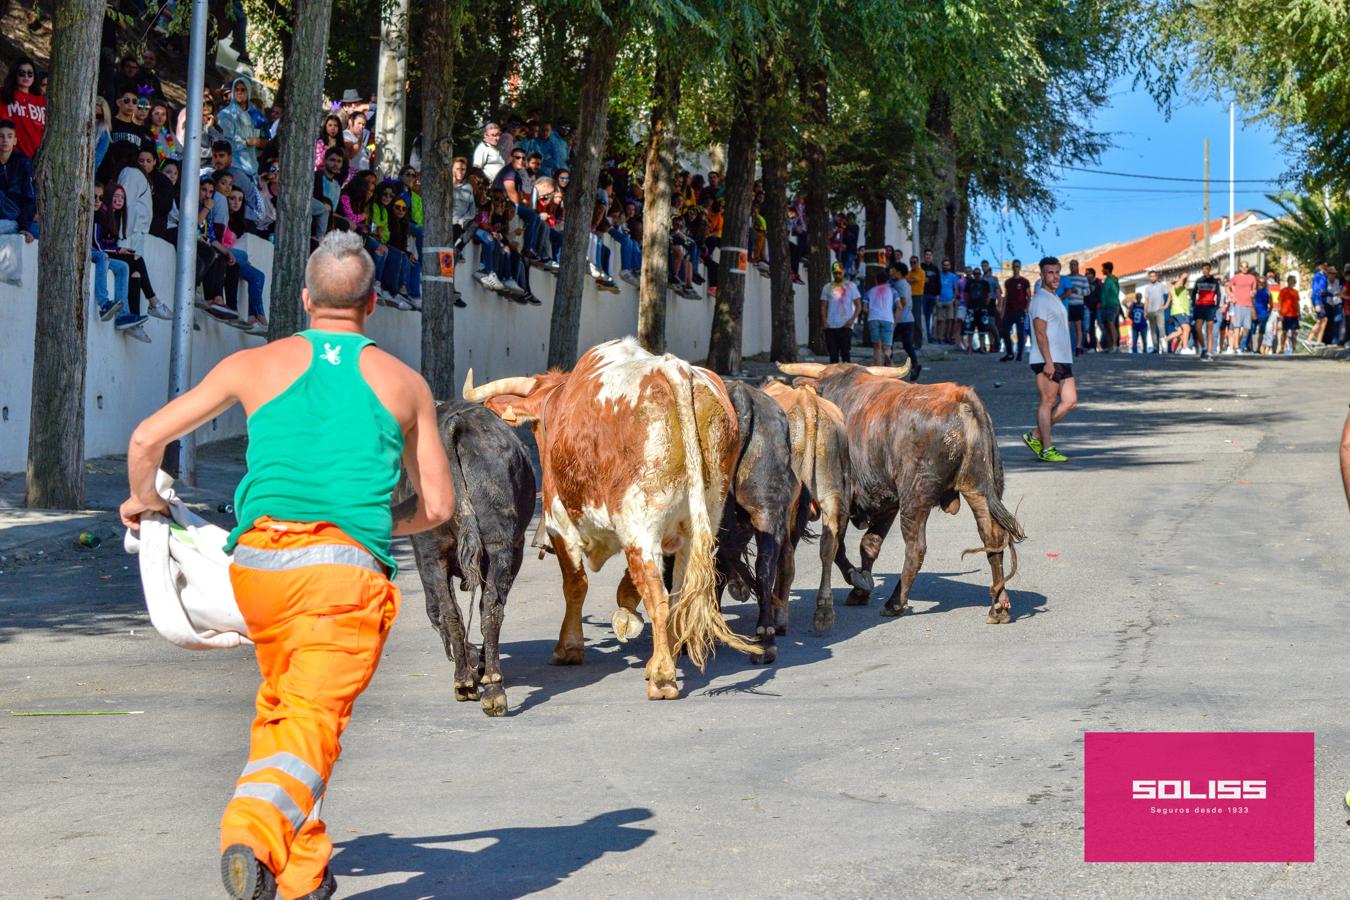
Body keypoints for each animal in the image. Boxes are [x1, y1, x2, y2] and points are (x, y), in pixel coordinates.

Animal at [464, 334, 761, 701]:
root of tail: (675, 369)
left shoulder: (560, 524)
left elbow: (575, 585)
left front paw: (569, 647)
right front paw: (626, 614)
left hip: (641, 525)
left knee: (658, 595)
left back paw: (662, 677)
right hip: (700, 520)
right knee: (677, 594)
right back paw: (663, 658)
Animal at [777, 361, 1026, 623]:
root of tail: (959, 396)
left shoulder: (844, 500)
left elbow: (838, 547)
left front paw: (858, 581)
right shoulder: (887, 501)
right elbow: (869, 545)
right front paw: (860, 589)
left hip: (915, 497)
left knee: (916, 547)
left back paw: (895, 602)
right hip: (978, 489)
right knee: (992, 538)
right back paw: (998, 607)